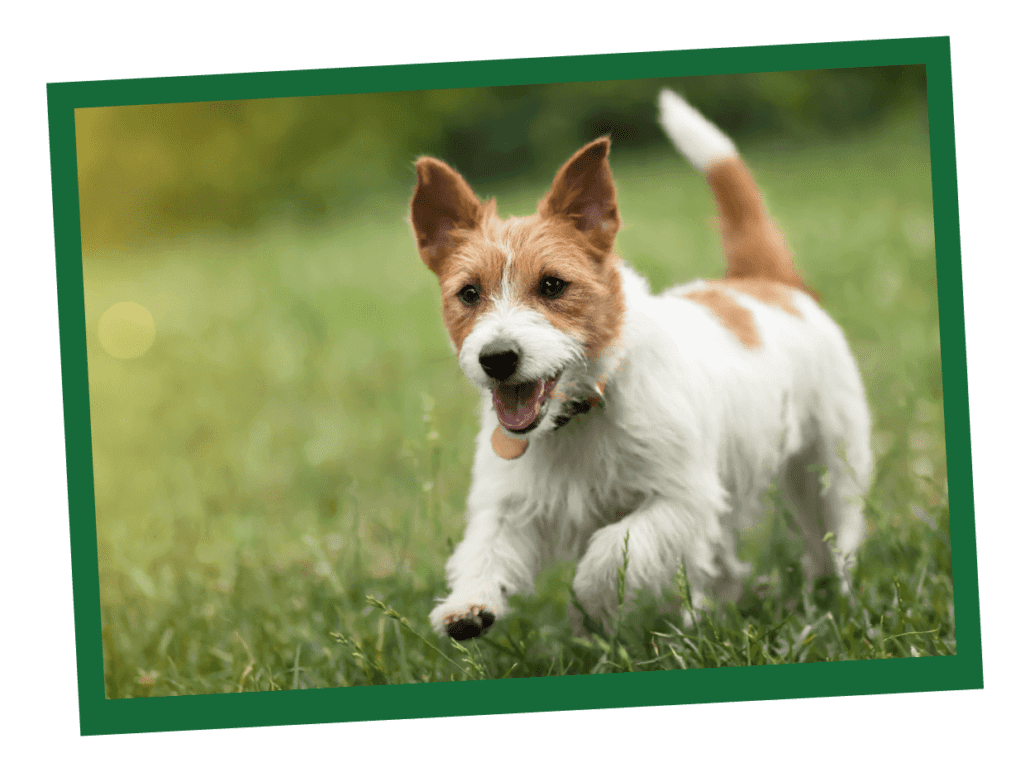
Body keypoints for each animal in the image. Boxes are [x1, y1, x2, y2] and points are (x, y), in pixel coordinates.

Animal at [409, 90, 869, 642]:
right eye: (469, 293)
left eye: (552, 285)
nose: (497, 358)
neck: (584, 410)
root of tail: (766, 280)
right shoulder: (512, 504)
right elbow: (484, 548)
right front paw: (468, 605)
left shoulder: (680, 499)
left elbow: (608, 552)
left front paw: (591, 610)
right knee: (725, 561)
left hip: (828, 460)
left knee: (834, 528)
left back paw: (832, 594)